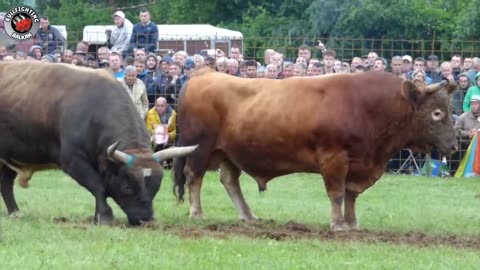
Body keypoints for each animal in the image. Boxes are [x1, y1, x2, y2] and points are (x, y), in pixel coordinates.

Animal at [172, 71, 458, 230]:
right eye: (437, 113)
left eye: (449, 109)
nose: (455, 146)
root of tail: (203, 75)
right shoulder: (335, 159)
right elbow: (337, 194)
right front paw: (338, 224)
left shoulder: (358, 165)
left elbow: (351, 196)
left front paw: (352, 222)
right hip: (200, 149)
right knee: (194, 176)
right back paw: (197, 213)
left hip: (229, 153)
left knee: (230, 180)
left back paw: (249, 216)